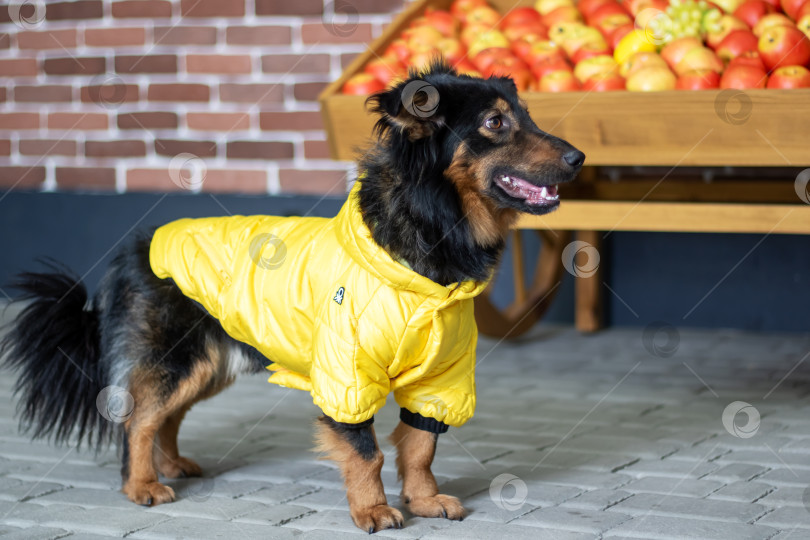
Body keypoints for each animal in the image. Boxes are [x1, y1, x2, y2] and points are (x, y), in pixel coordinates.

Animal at [0, 62, 580, 532]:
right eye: (495, 124)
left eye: (527, 117)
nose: (578, 157)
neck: (425, 243)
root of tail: (134, 248)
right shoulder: (346, 372)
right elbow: (367, 452)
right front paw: (373, 509)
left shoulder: (442, 378)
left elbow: (420, 446)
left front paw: (423, 499)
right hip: (173, 358)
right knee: (140, 418)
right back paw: (142, 483)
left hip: (210, 363)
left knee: (168, 415)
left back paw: (172, 465)